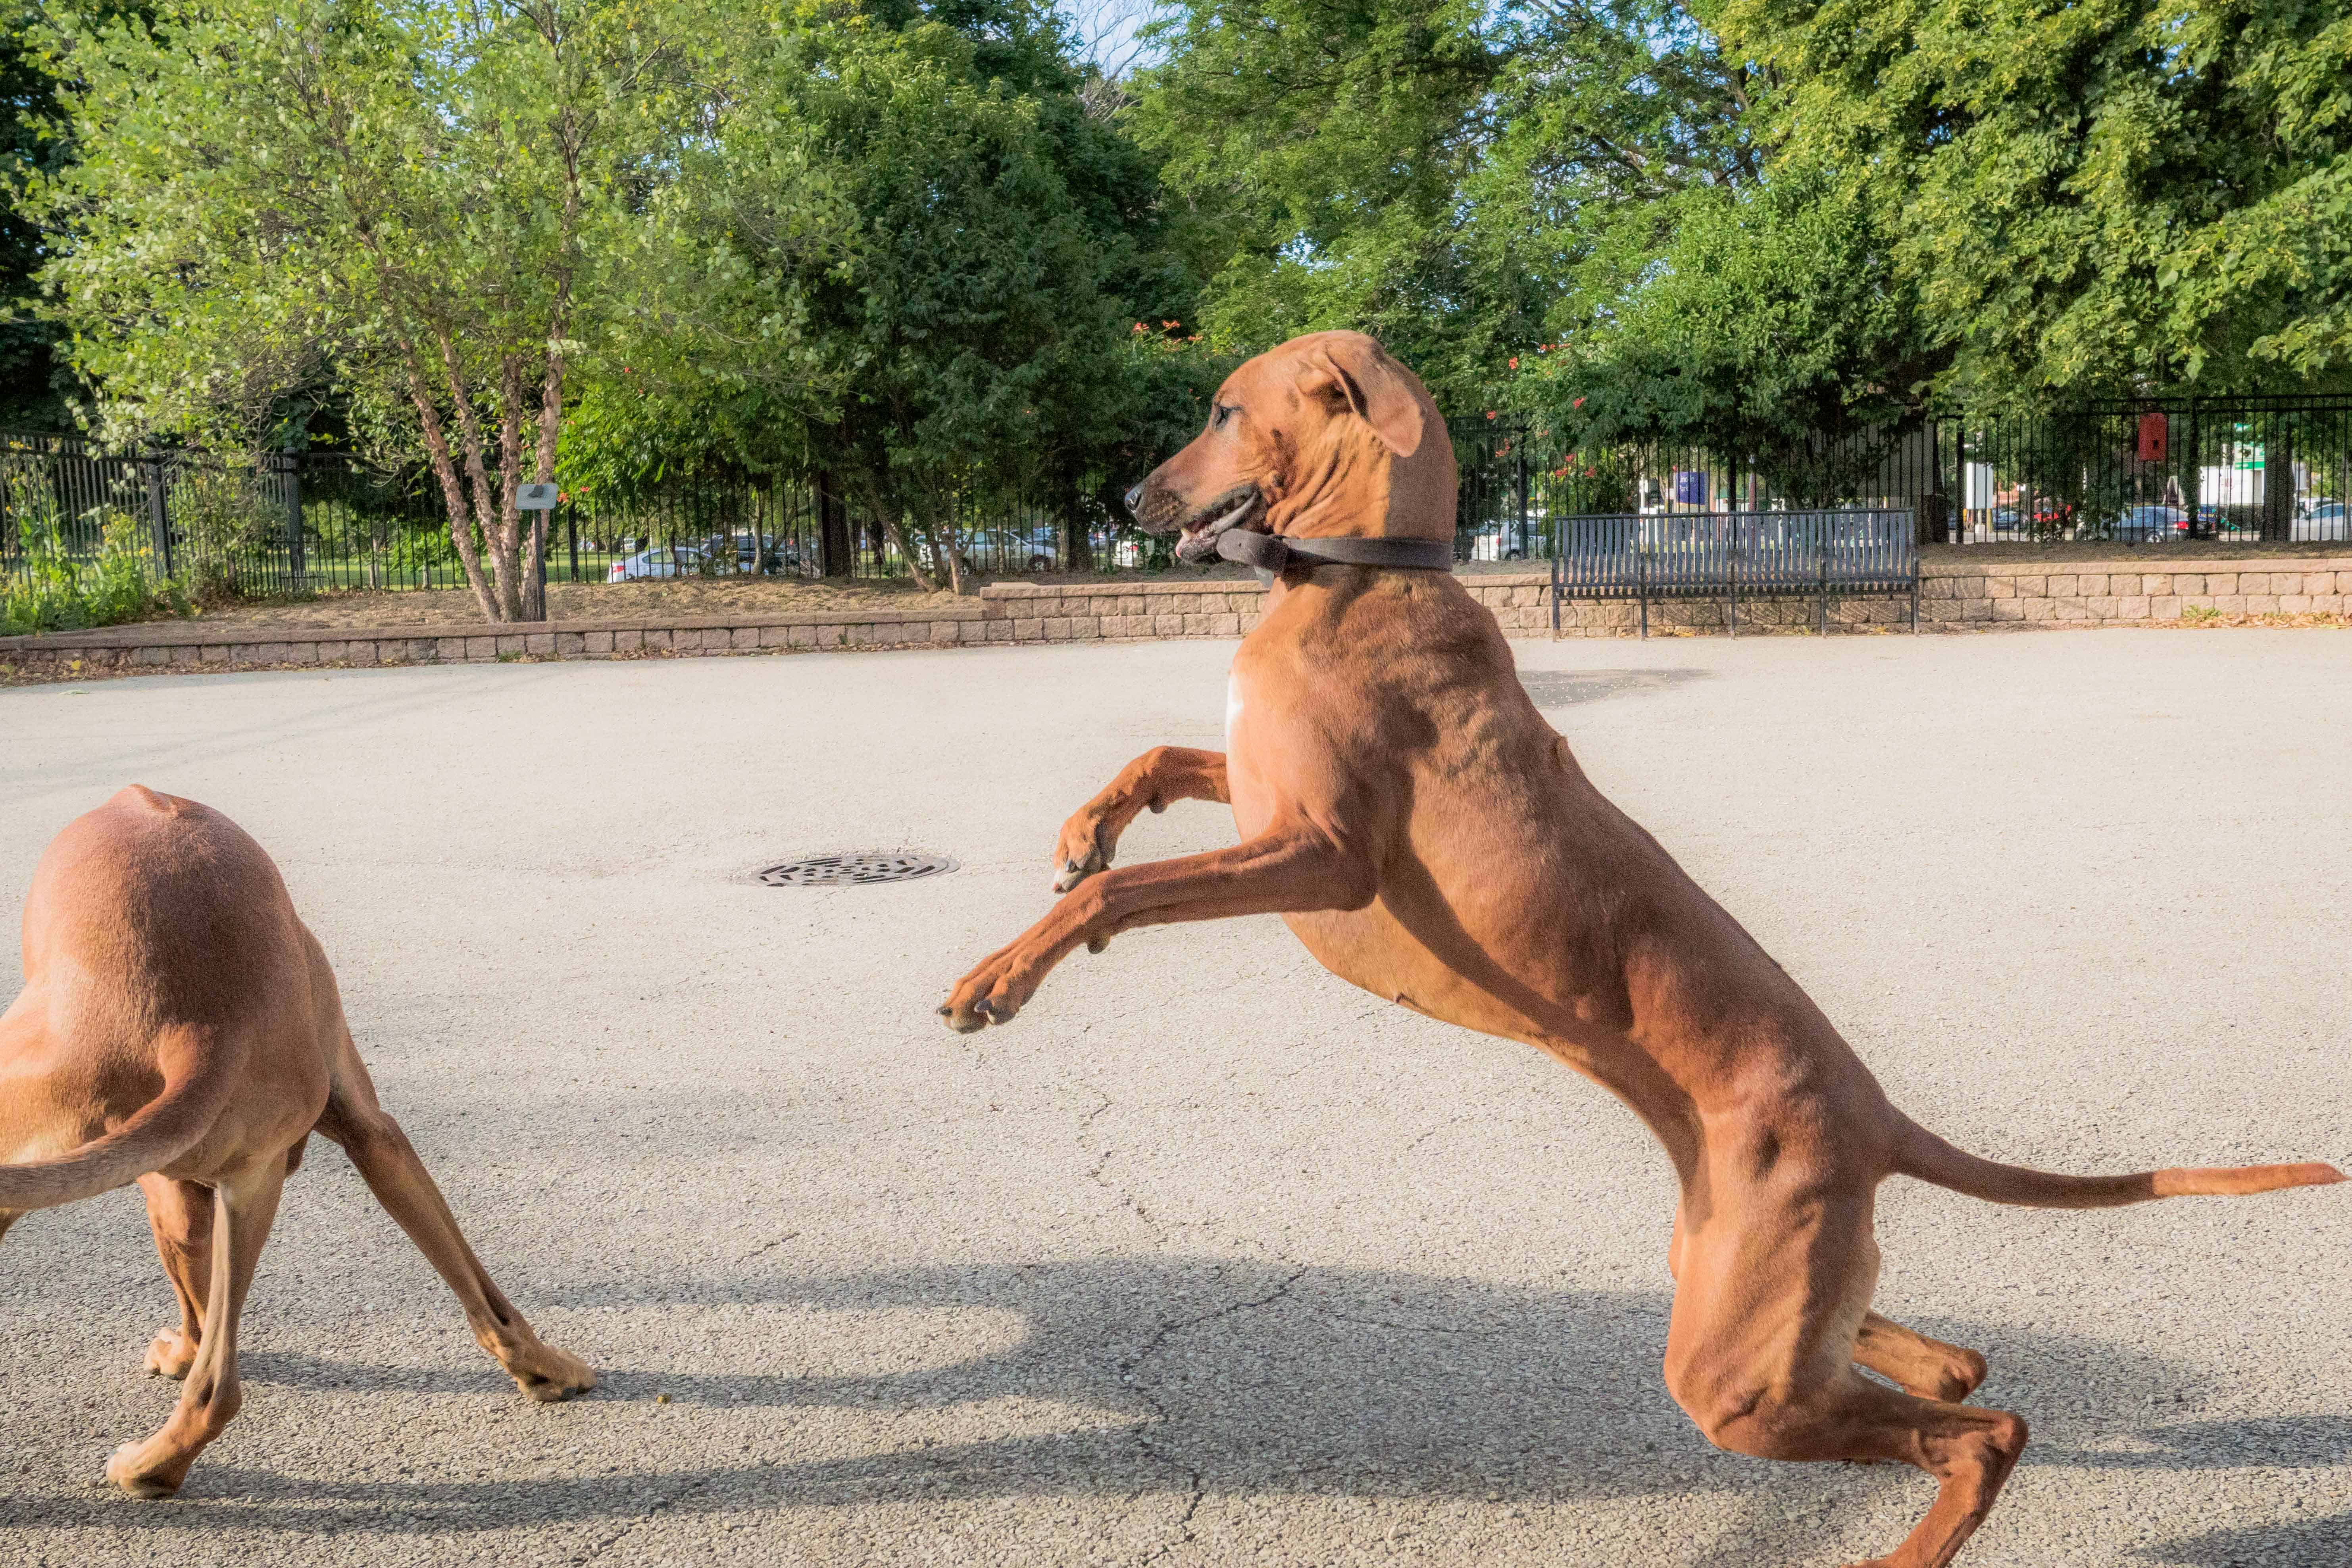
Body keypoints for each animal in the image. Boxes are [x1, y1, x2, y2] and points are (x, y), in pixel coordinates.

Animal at [2, 790, 588, 1505]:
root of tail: (201, 1024)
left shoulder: (169, 1189)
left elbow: (195, 1311)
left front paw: (178, 1353)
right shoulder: (371, 1133)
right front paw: (546, 1369)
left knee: (216, 1381)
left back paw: (143, 1468)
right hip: (253, 1183)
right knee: (220, 1389)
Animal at [945, 331, 2342, 1568]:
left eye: (1226, 411)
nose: (1127, 497)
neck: (1351, 574)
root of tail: (1876, 1109)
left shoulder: (1322, 855)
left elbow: (1121, 892)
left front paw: (995, 978)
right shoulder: (1261, 800)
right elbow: (1152, 769)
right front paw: (1080, 828)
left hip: (1730, 1373)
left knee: (1985, 1426)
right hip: (1731, 1283)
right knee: (1951, 1365)